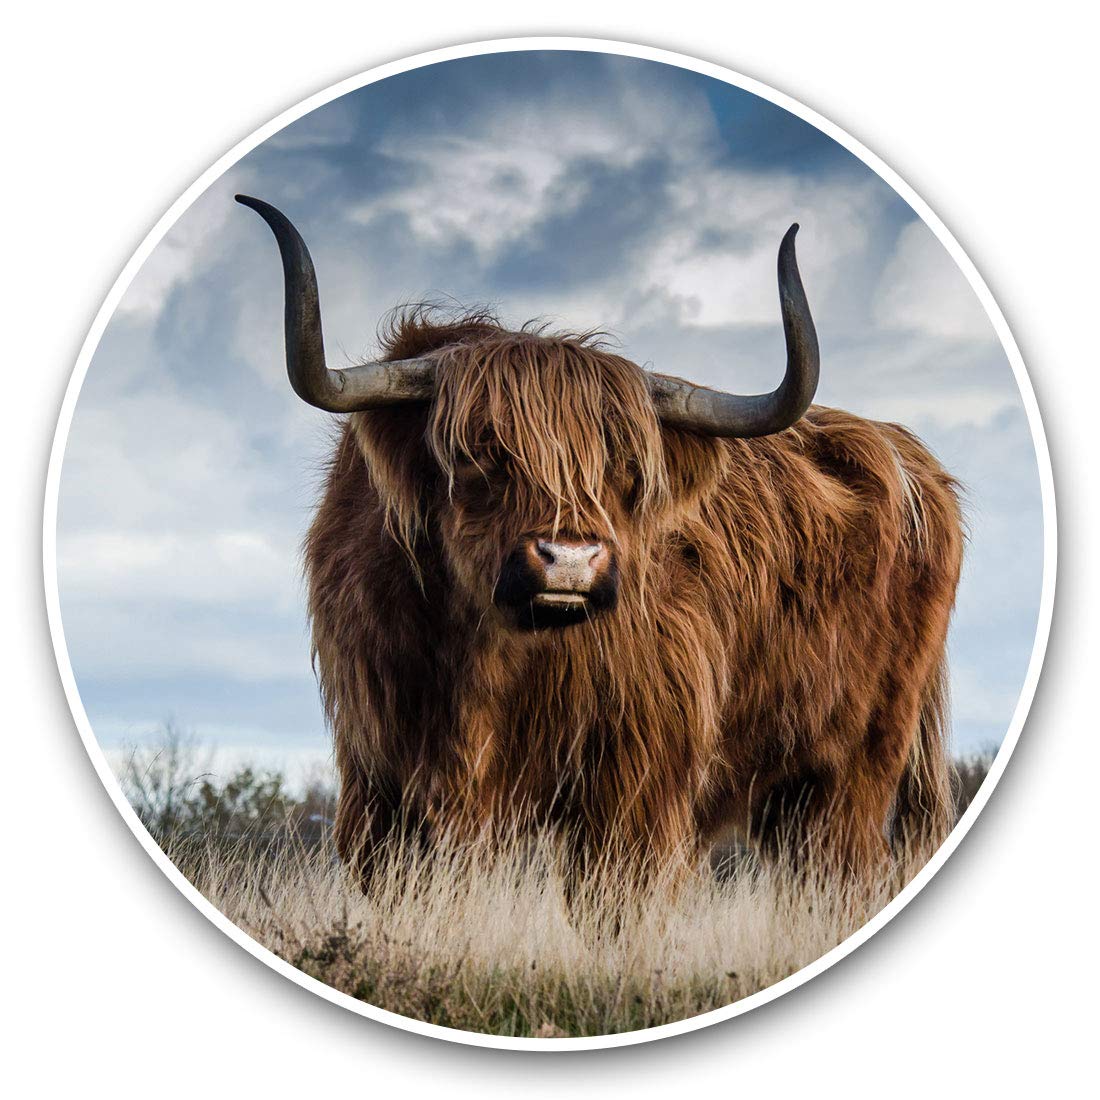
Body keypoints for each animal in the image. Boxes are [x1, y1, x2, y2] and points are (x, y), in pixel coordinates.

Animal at [237, 195, 964, 886]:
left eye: (625, 466)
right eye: (479, 453)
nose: (571, 560)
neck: (484, 660)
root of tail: (911, 457)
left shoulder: (636, 783)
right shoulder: (382, 778)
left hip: (853, 768)